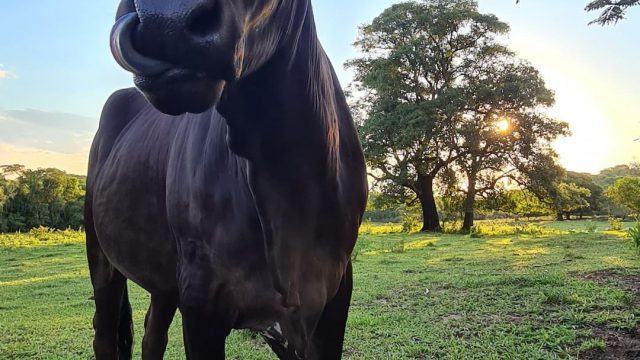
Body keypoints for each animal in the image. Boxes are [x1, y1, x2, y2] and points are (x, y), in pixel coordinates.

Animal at [86, 0, 364, 358]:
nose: (164, 21)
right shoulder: (201, 300)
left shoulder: (333, 297)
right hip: (101, 256)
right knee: (105, 333)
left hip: (163, 280)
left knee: (152, 334)